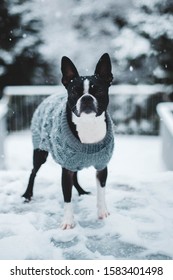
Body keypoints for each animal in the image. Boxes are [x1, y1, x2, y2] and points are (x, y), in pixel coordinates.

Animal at [22, 53, 114, 230]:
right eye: (74, 92)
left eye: (98, 90)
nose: (86, 98)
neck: (88, 124)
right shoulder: (66, 169)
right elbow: (67, 197)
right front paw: (68, 221)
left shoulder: (101, 166)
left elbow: (101, 191)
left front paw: (102, 212)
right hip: (40, 153)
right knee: (33, 172)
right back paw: (27, 195)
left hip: (72, 161)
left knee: (76, 177)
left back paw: (82, 191)